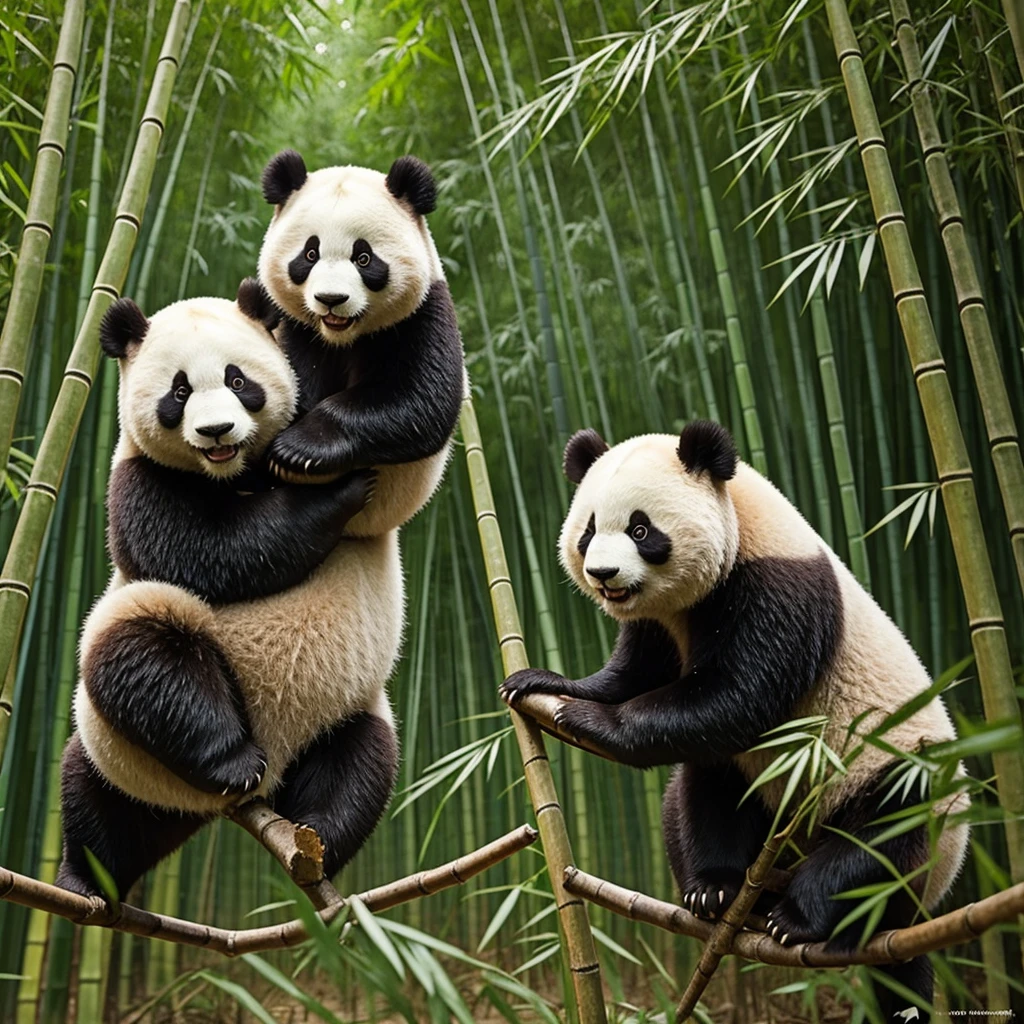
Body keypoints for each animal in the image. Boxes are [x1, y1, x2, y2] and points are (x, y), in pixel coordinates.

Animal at [54, 280, 401, 897]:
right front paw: (333, 493)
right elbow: (216, 553)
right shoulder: (138, 483)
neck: (229, 473)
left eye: (239, 381)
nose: (216, 431)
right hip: (121, 738)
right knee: (141, 676)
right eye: (179, 391)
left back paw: (318, 840)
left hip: (349, 711)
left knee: (360, 766)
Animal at [256, 151, 464, 536]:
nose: (331, 299)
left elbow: (420, 400)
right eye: (310, 254)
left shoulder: (423, 314)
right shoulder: (290, 323)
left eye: (363, 258)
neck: (342, 336)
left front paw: (298, 450)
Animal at [501, 419, 966, 1011]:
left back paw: (794, 917)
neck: (744, 522)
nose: (603, 574)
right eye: (587, 530)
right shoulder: (663, 624)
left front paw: (590, 721)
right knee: (703, 795)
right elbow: (637, 676)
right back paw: (715, 890)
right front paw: (542, 683)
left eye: (640, 529)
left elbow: (737, 697)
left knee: (872, 849)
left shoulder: (778, 588)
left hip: (898, 777)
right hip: (759, 786)